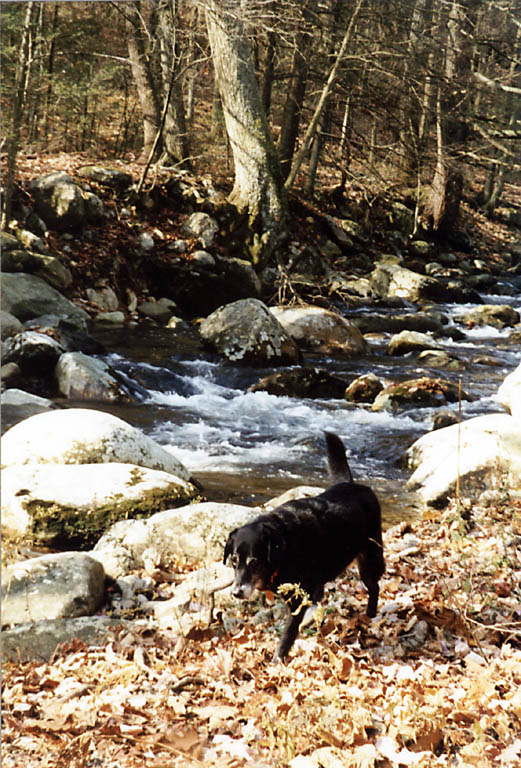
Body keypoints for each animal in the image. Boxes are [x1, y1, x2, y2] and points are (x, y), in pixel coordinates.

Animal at [221, 432, 384, 660]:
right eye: (234, 561)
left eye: (254, 562)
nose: (236, 592)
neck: (283, 546)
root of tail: (354, 484)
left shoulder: (297, 602)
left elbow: (287, 635)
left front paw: (277, 660)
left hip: (370, 560)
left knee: (374, 587)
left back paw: (370, 615)